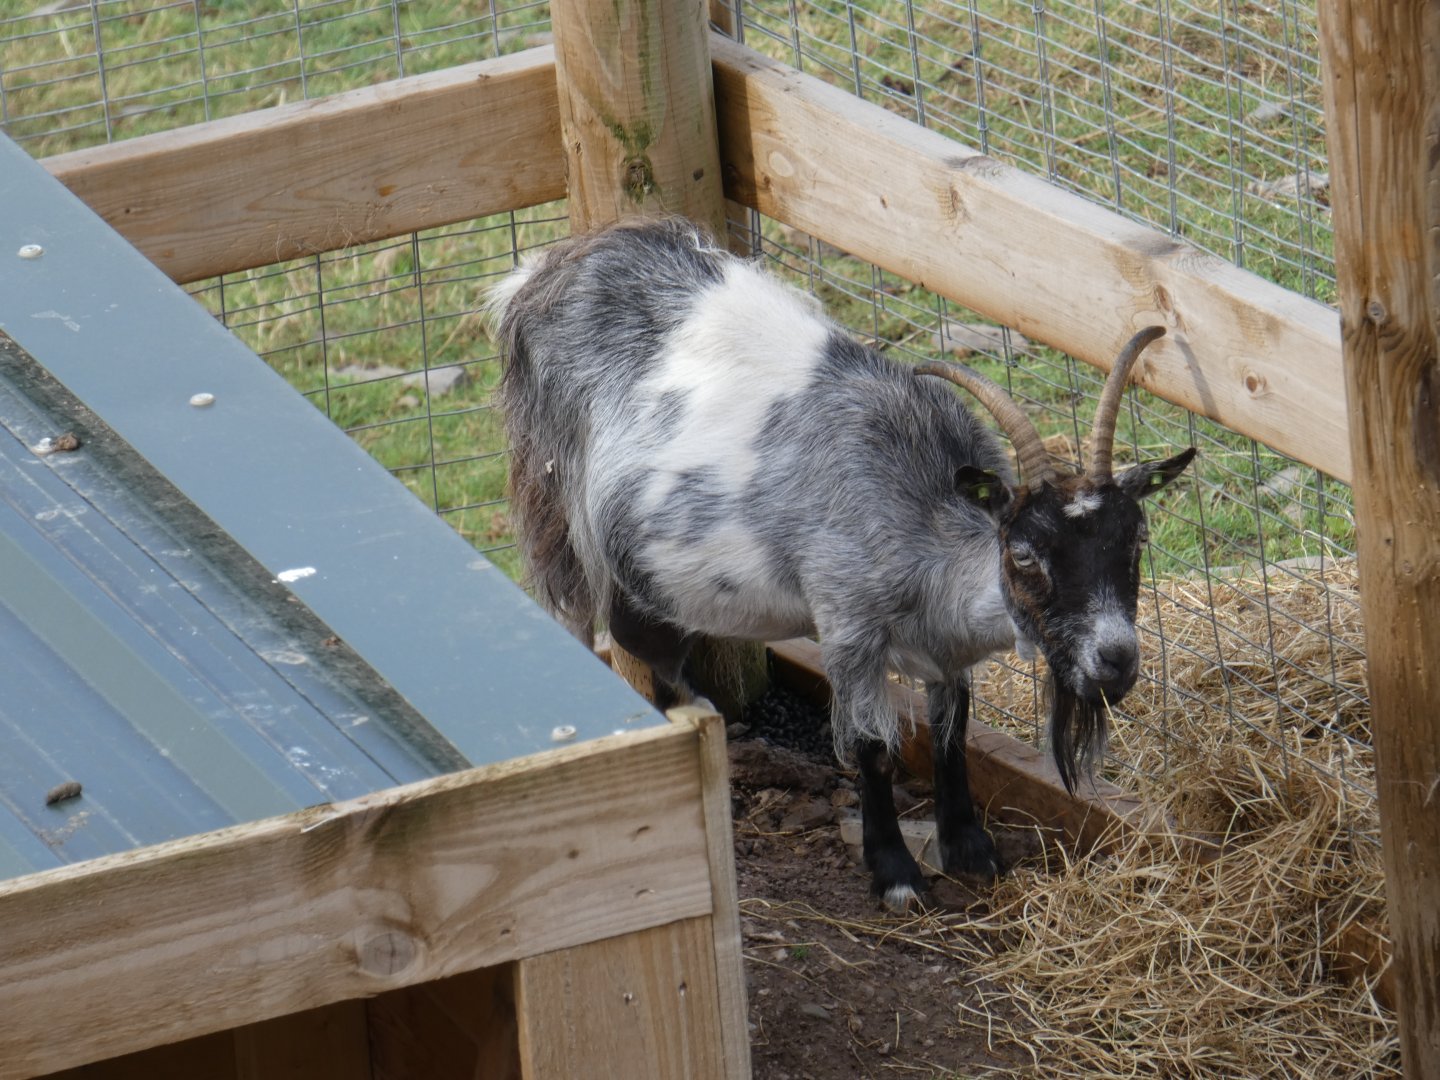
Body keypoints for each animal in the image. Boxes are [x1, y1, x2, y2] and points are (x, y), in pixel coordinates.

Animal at [489, 218, 1195, 909]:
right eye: (1023, 553)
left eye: (1136, 539)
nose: (1116, 661)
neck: (922, 520)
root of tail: (545, 269)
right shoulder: (848, 624)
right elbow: (871, 747)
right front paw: (896, 874)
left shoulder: (945, 650)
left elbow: (952, 732)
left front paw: (971, 849)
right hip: (549, 498)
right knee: (578, 618)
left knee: (653, 642)